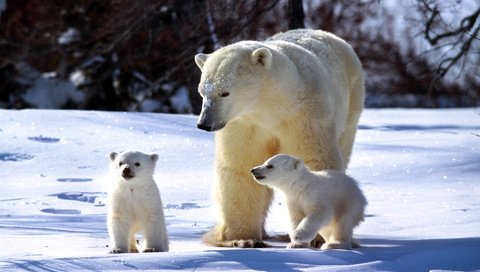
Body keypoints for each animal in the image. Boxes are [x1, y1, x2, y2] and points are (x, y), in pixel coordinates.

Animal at [193, 28, 362, 248]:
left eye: (225, 92)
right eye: (202, 92)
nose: (204, 124)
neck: (272, 107)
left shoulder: (304, 115)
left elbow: (314, 158)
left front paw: (316, 237)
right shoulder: (244, 124)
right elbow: (240, 165)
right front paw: (243, 239)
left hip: (351, 105)